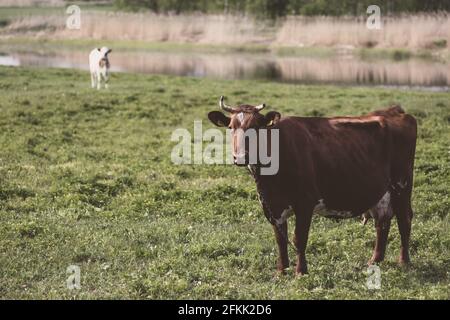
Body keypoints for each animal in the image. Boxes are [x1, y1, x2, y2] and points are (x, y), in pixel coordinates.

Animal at [209, 96, 416, 274]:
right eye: (231, 127)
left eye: (255, 127)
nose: (240, 157)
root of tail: (394, 111)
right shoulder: (272, 205)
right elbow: (280, 239)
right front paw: (281, 270)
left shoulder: (305, 202)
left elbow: (299, 238)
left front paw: (301, 271)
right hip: (382, 192)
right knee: (382, 222)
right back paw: (375, 261)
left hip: (402, 185)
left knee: (404, 220)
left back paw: (404, 261)